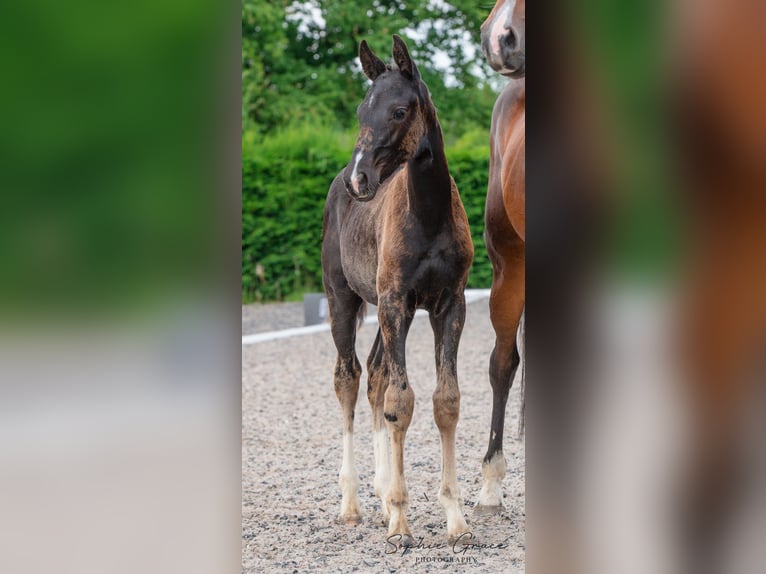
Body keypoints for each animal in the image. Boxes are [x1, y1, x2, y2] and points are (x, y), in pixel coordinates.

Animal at [322, 33, 476, 548]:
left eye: (399, 110)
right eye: (359, 111)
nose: (360, 179)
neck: (427, 215)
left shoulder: (448, 305)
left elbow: (444, 401)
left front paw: (455, 520)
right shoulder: (393, 303)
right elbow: (401, 402)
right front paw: (401, 524)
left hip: (390, 311)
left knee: (374, 375)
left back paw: (381, 488)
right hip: (344, 299)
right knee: (349, 378)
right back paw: (351, 504)